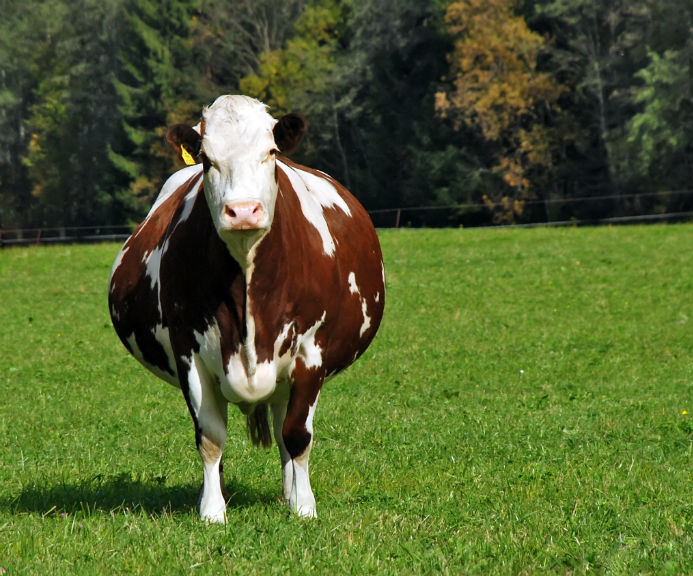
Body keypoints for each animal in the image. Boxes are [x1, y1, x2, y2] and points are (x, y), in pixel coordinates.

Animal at [111, 95, 386, 520]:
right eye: (206, 159)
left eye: (270, 152)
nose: (242, 211)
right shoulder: (188, 349)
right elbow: (209, 436)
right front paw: (212, 510)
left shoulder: (311, 351)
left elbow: (297, 435)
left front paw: (304, 507)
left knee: (284, 431)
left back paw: (289, 494)